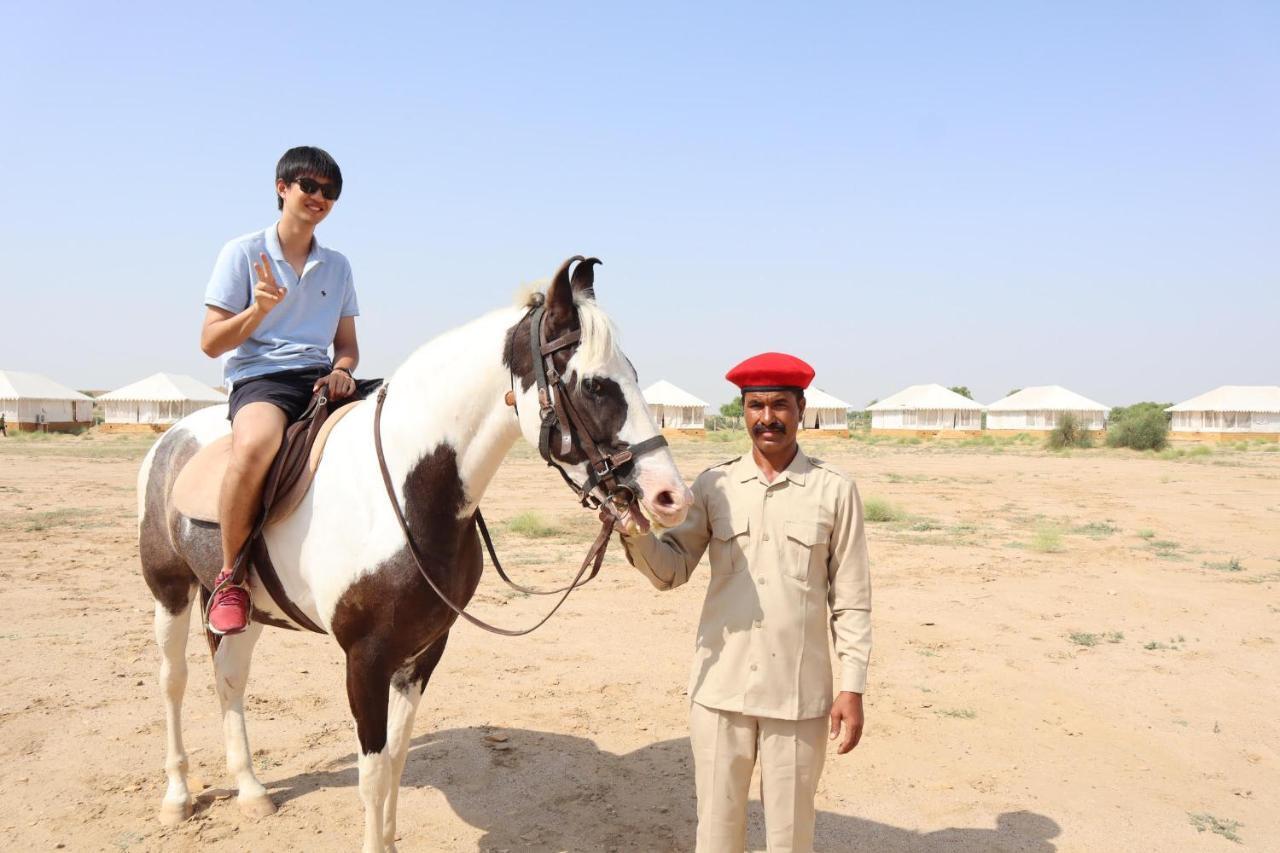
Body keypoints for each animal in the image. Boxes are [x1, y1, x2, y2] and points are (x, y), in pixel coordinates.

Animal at [136, 256, 696, 845]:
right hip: (169, 592)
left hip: (247, 608)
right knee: (174, 681)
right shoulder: (364, 660)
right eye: (594, 385)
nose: (670, 496)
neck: (405, 494)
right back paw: (177, 797)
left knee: (230, 676)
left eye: (634, 376)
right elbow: (372, 775)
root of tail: (172, 436)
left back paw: (250, 790)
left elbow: (396, 762)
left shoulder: (422, 652)